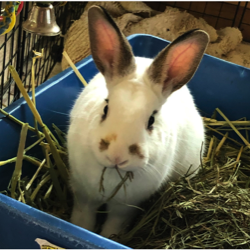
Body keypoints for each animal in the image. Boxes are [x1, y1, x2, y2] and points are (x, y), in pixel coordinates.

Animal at [66, 4, 209, 239]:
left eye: (151, 120)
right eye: (105, 108)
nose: (117, 156)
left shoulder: (125, 209)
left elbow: (114, 226)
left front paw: (108, 237)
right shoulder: (84, 195)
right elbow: (83, 218)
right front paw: (81, 229)